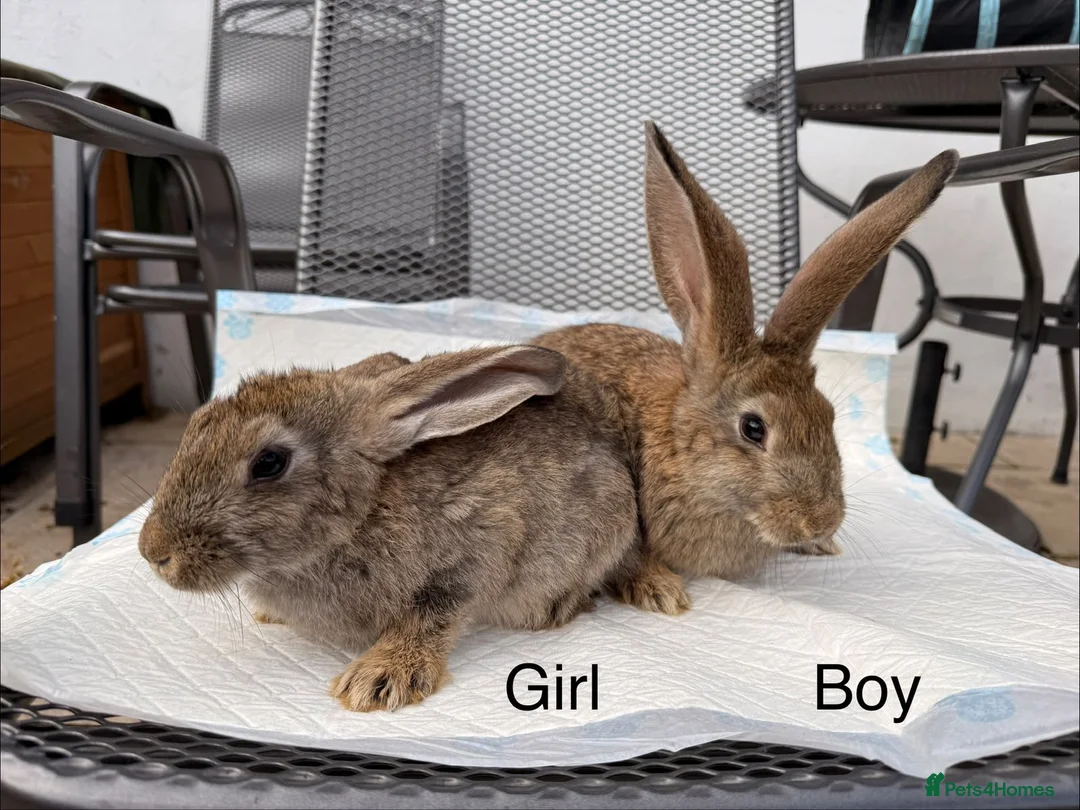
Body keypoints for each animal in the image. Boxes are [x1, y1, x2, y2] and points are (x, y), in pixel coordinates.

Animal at [138, 344, 680, 713]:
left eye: (269, 462)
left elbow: (433, 613)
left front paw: (376, 681)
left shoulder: (478, 547)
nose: (153, 552)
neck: (360, 516)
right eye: (196, 424)